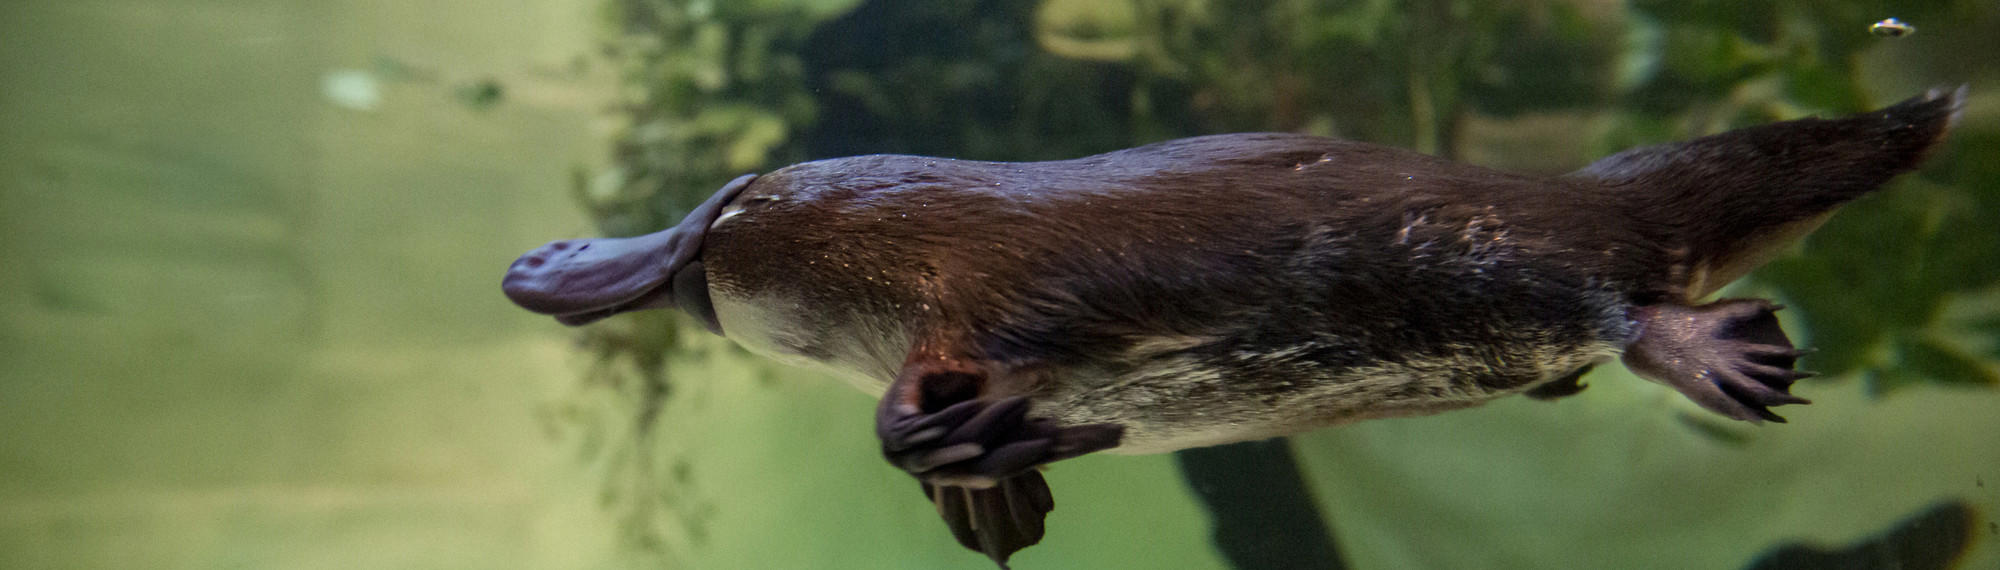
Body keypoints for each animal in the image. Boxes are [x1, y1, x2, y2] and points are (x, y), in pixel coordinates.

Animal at [503, 88, 1964, 567]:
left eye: (726, 219)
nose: (540, 266)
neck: (907, 237)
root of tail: (1605, 190)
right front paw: (996, 506)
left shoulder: (981, 303)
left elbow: (922, 401)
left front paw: (970, 449)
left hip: (1538, 264)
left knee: (1631, 305)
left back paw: (1735, 359)